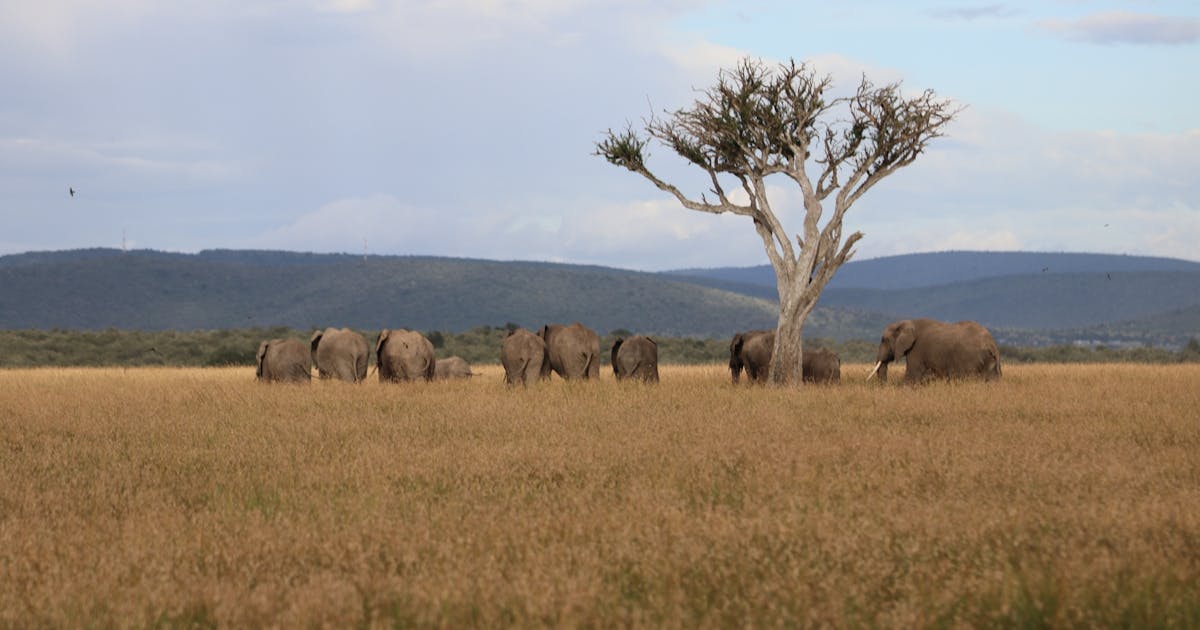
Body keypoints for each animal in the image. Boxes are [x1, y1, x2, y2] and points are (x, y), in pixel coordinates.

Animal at [873, 316, 1003, 381]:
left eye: (884, 340)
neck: (906, 322)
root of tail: (992, 344)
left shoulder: (916, 350)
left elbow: (912, 375)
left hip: (969, 358)